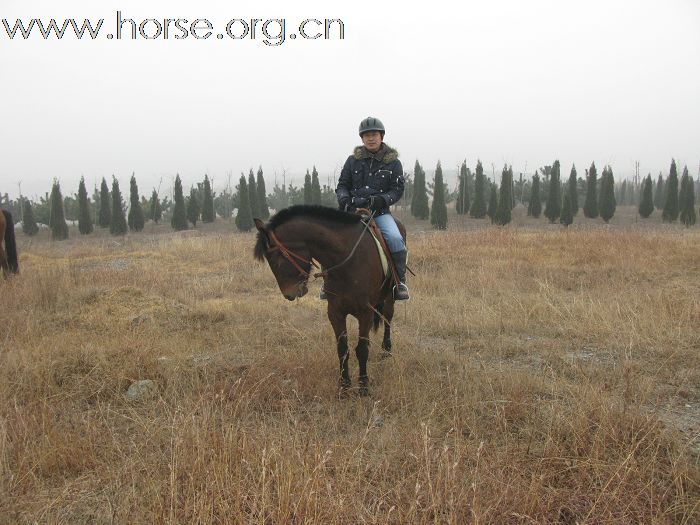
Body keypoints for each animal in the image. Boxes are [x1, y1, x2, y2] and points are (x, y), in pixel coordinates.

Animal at [253, 205, 404, 392]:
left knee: (388, 318)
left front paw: (363, 386)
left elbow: (362, 349)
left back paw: (386, 350)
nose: (289, 294)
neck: (346, 260)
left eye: (277, 259)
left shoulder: (365, 312)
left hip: (390, 298)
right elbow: (342, 349)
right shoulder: (335, 311)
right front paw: (344, 386)